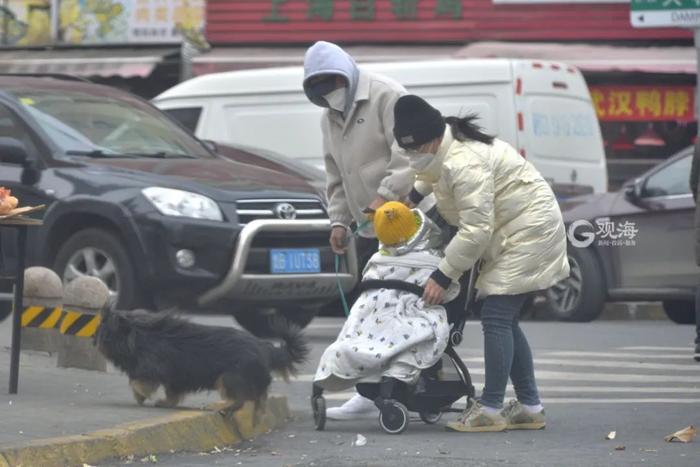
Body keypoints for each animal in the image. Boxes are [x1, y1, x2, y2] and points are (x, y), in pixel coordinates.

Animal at [95, 308, 306, 416]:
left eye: (103, 333)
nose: (93, 341)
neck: (139, 335)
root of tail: (267, 348)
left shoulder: (151, 369)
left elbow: (137, 382)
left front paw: (140, 395)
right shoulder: (175, 379)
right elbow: (171, 394)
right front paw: (164, 402)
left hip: (229, 377)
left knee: (238, 399)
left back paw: (219, 406)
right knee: (256, 397)